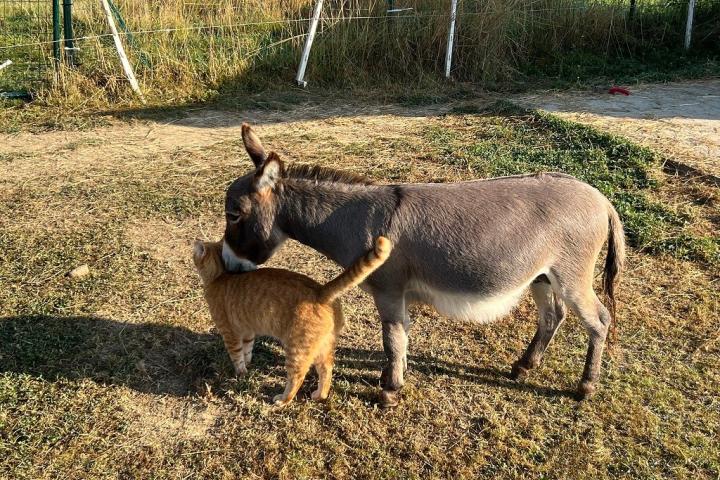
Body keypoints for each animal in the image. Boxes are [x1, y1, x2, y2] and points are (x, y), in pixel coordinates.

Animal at [194, 236, 390, 404]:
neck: (221, 276)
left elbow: (236, 355)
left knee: (297, 377)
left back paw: (282, 400)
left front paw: (240, 372)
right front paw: (248, 364)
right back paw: (319, 395)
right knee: (327, 369)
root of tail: (320, 290)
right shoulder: (248, 331)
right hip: (323, 345)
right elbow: (247, 350)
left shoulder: (229, 333)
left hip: (296, 349)